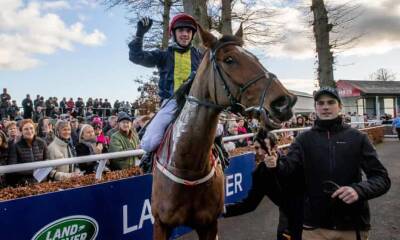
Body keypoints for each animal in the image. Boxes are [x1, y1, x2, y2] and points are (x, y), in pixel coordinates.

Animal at [151, 23, 296, 240]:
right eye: (229, 60)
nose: (285, 102)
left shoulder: (210, 224)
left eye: (256, 58)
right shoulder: (161, 225)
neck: (188, 168)